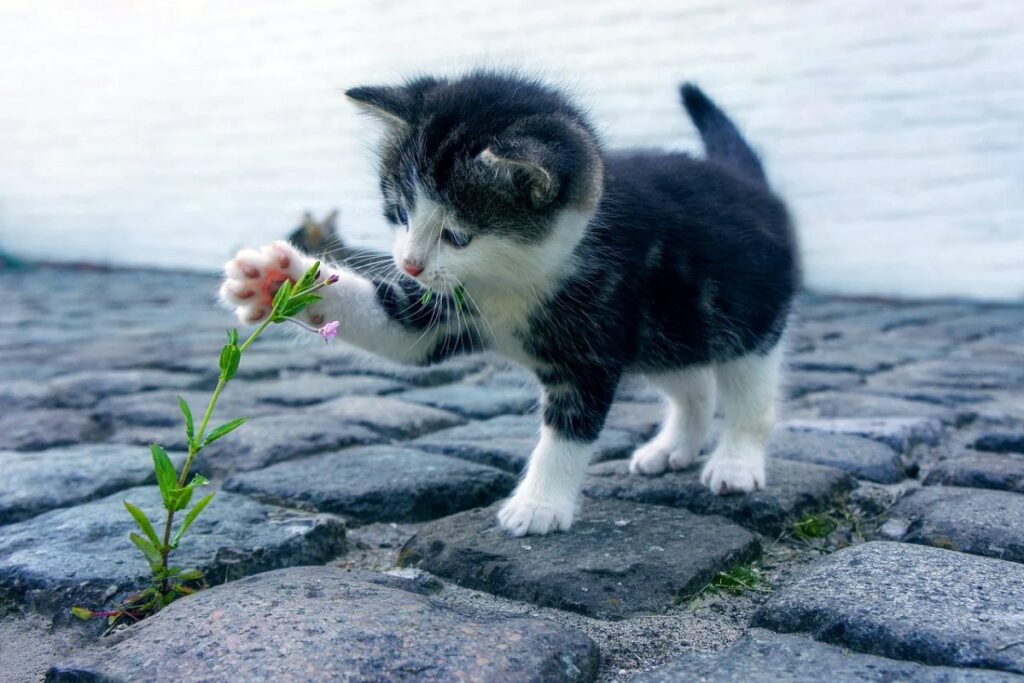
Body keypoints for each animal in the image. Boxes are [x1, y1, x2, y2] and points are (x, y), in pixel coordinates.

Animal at [222, 70, 798, 540]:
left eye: (457, 235)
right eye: (401, 213)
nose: (409, 264)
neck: (511, 278)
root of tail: (749, 183)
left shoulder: (593, 340)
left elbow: (569, 429)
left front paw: (539, 505)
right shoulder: (444, 308)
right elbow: (397, 329)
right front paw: (277, 280)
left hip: (746, 319)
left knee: (749, 394)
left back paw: (736, 463)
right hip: (666, 331)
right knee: (693, 383)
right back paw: (673, 447)